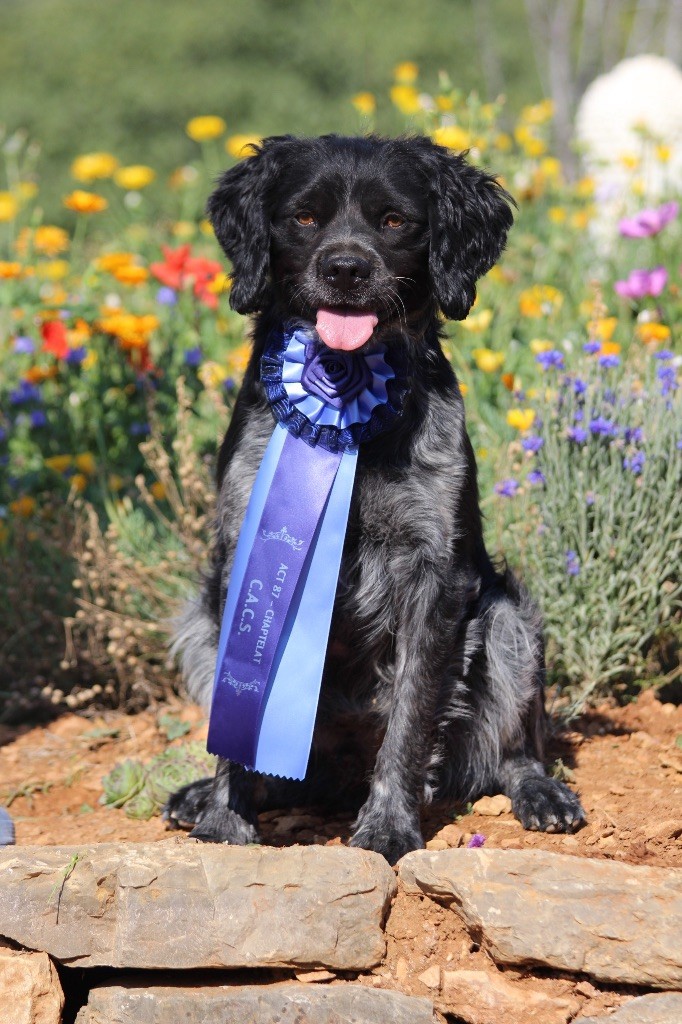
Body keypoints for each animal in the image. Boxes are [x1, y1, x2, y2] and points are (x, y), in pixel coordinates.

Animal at [165, 132, 585, 860]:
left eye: (394, 220)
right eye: (304, 217)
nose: (344, 269)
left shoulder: (434, 573)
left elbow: (411, 720)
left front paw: (388, 826)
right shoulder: (236, 557)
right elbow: (235, 730)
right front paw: (224, 818)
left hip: (508, 618)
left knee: (511, 752)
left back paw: (541, 793)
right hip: (197, 617)